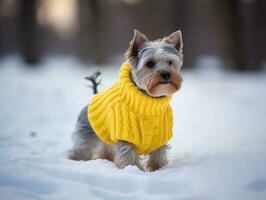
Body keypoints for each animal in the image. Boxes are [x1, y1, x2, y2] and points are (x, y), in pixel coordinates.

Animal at [69, 29, 183, 172]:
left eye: (170, 62)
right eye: (149, 63)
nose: (166, 74)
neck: (148, 100)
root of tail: (94, 96)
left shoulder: (159, 135)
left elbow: (158, 152)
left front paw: (157, 168)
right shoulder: (125, 134)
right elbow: (128, 154)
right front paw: (132, 168)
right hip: (86, 136)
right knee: (81, 149)